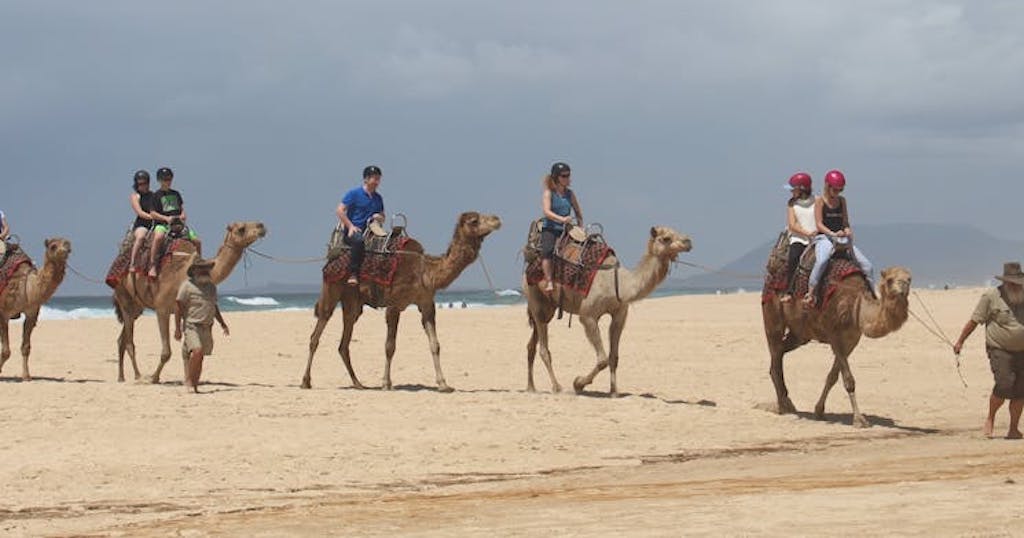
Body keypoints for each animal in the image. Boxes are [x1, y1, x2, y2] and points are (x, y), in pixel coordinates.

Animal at [0, 236, 71, 379]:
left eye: (68, 245)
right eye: (53, 246)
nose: (65, 251)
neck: (27, 287)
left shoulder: (31, 313)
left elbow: (26, 348)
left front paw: (26, 376)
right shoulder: (4, 313)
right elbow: (6, 351)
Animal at [111, 221, 268, 381]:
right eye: (241, 228)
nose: (261, 226)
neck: (183, 275)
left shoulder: (184, 311)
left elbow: (187, 351)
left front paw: (188, 379)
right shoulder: (162, 308)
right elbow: (167, 352)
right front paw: (154, 378)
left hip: (137, 307)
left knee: (122, 339)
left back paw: (121, 377)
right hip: (124, 297)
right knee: (129, 342)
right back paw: (138, 375)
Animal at [299, 212, 499, 391]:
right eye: (474, 220)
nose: (497, 219)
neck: (424, 271)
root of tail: (332, 257)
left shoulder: (427, 304)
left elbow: (435, 345)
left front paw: (443, 384)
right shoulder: (393, 304)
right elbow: (390, 346)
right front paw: (386, 384)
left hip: (352, 302)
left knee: (343, 343)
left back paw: (358, 383)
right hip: (331, 289)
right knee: (316, 334)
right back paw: (305, 381)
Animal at [524, 224, 692, 395]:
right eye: (666, 238)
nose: (688, 241)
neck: (619, 283)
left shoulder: (619, 315)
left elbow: (613, 357)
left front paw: (614, 392)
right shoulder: (588, 316)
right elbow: (602, 359)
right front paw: (578, 383)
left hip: (548, 307)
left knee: (531, 345)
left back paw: (531, 387)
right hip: (535, 300)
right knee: (543, 348)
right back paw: (557, 387)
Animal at [761, 261, 913, 428]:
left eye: (909, 279)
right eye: (890, 280)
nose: (903, 286)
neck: (856, 308)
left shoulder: (851, 341)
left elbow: (832, 377)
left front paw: (819, 411)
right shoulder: (834, 336)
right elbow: (848, 380)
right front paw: (859, 420)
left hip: (800, 334)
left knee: (780, 352)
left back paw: (785, 402)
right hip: (772, 314)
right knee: (775, 353)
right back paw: (784, 405)